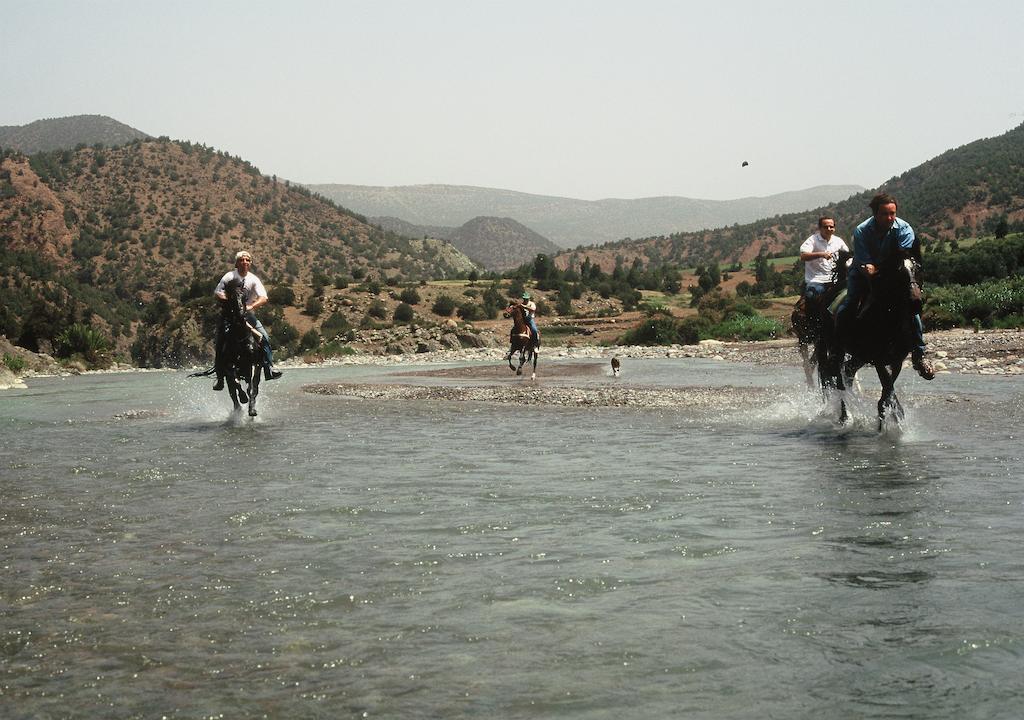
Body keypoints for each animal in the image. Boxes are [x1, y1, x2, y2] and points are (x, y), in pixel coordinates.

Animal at [815, 250, 921, 428]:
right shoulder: (878, 360)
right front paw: (889, 423)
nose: (916, 302)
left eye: (916, 268)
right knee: (837, 378)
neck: (889, 320)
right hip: (837, 348)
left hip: (859, 356)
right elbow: (888, 387)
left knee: (847, 372)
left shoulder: (897, 360)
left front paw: (890, 418)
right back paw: (844, 416)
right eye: (898, 271)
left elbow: (888, 390)